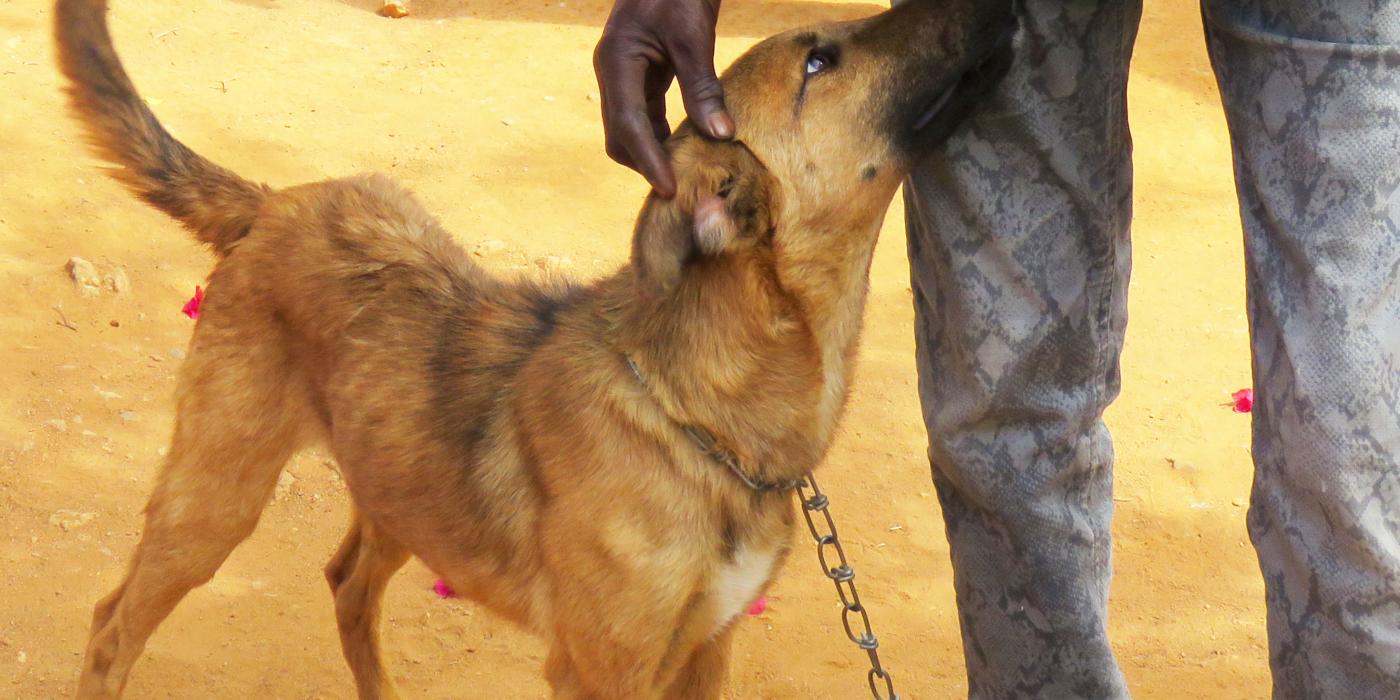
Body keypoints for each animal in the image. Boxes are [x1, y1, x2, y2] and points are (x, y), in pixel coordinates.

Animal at [57, 0, 1019, 697]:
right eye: (819, 62)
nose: (1003, 4)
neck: (700, 416)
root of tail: (271, 203)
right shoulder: (603, 670)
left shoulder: (706, 649)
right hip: (215, 500)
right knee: (108, 625)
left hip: (403, 491)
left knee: (347, 585)